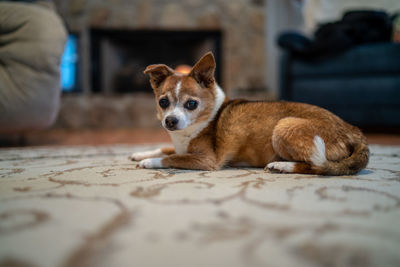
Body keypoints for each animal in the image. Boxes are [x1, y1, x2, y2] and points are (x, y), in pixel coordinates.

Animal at [130, 52, 368, 176]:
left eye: (191, 104)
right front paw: (140, 153)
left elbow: (172, 157)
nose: (170, 121)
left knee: (315, 166)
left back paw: (282, 165)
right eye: (163, 102)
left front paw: (149, 161)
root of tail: (354, 131)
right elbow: (166, 148)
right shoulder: (180, 145)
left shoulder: (206, 160)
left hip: (283, 127)